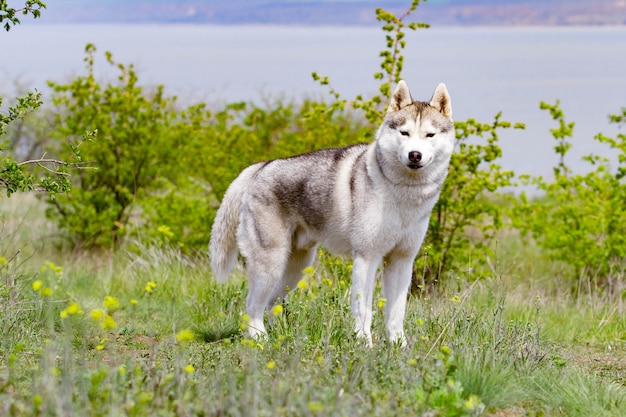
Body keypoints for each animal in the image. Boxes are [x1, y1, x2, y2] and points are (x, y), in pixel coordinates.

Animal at [207, 80, 450, 344]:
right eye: (404, 133)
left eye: (429, 135)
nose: (414, 155)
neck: (404, 194)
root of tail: (259, 167)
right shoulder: (367, 258)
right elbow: (363, 311)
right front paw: (364, 344)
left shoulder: (402, 260)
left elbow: (396, 314)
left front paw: (399, 346)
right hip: (271, 264)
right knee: (252, 306)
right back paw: (261, 340)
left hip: (296, 267)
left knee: (271, 305)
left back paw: (281, 337)